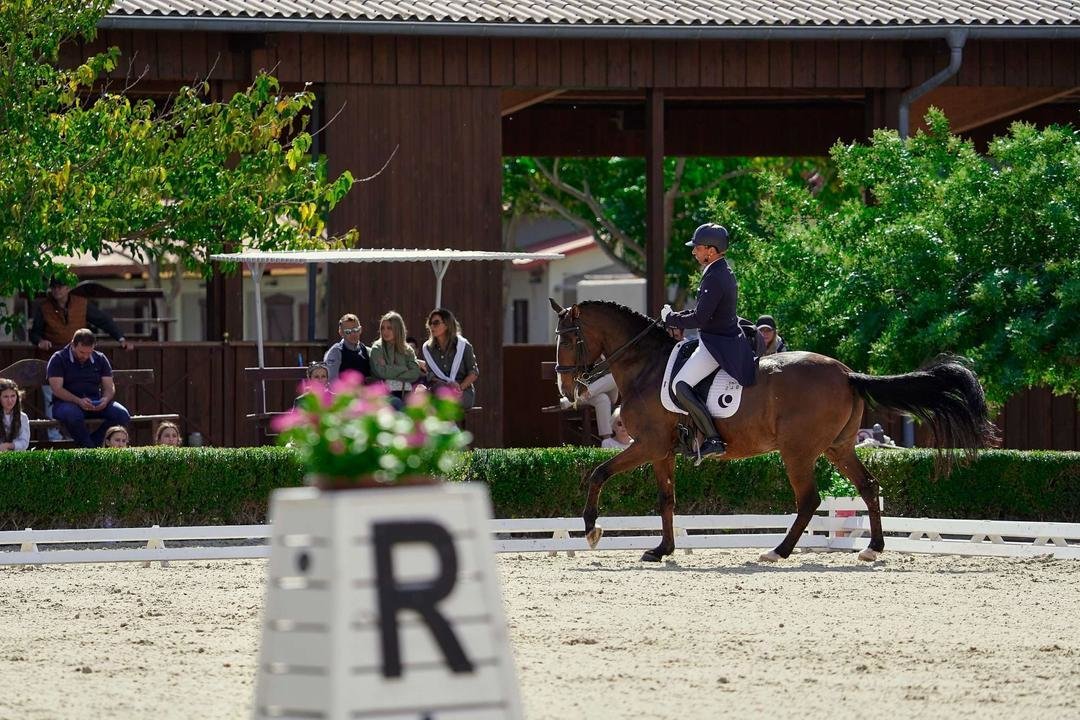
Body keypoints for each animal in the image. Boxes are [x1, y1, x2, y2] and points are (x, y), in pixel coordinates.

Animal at [552, 297, 997, 561]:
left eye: (569, 338)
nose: (566, 388)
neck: (646, 367)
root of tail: (847, 373)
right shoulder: (662, 451)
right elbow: (666, 500)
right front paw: (662, 550)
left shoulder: (647, 444)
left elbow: (598, 473)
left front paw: (591, 531)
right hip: (838, 448)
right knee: (869, 486)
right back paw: (871, 549)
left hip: (797, 451)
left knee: (810, 499)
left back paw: (778, 552)